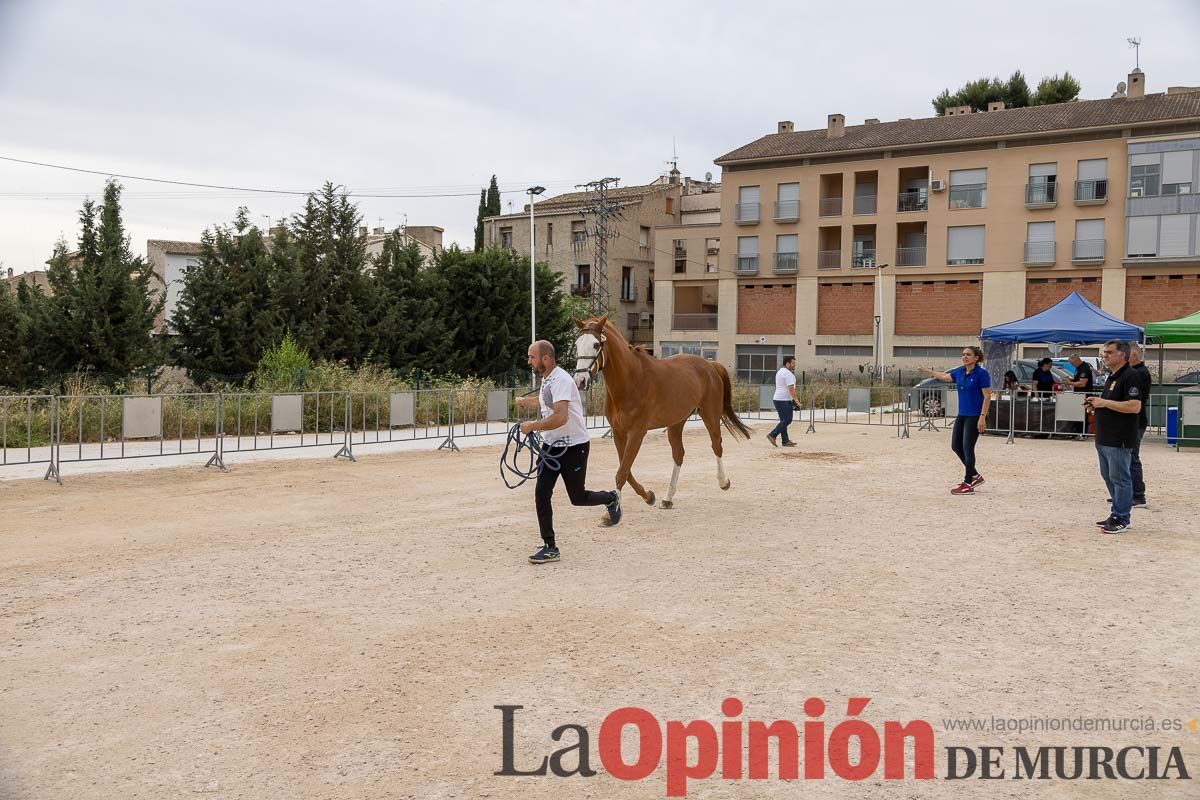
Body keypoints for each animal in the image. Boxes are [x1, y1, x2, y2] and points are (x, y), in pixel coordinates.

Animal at [571, 316, 748, 510]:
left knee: (716, 445)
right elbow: (626, 469)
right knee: (678, 454)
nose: (580, 380)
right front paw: (648, 496)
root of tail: (709, 364)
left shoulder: (637, 432)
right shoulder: (618, 433)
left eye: (596, 345)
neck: (630, 380)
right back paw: (668, 498)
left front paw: (613, 510)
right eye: (577, 344)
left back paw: (724, 482)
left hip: (710, 415)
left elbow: (623, 471)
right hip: (676, 422)